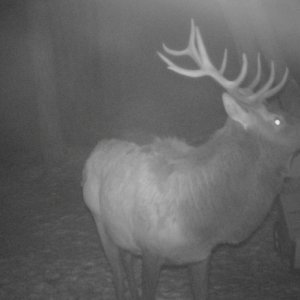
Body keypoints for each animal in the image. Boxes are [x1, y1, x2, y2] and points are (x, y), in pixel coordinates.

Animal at [82, 19, 300, 298]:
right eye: (277, 120)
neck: (203, 222)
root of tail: (97, 149)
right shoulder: (151, 250)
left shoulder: (201, 255)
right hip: (99, 220)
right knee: (117, 275)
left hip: (122, 234)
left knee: (127, 262)